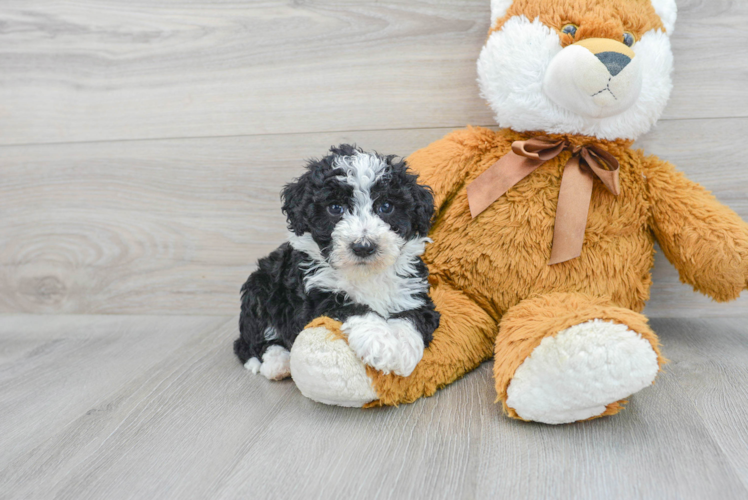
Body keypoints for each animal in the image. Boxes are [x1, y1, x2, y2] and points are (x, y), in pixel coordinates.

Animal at [235, 146, 438, 380]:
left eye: (386, 206)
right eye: (335, 207)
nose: (363, 247)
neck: (366, 274)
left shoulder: (412, 291)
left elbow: (412, 317)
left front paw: (402, 351)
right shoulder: (315, 298)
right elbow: (352, 308)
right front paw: (380, 342)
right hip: (259, 289)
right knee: (251, 342)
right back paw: (277, 362)